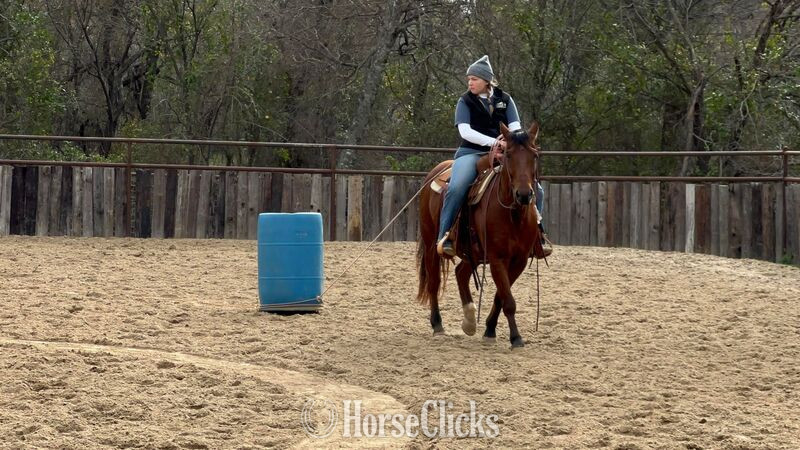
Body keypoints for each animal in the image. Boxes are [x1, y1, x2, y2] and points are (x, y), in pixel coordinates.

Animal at [416, 121, 542, 348]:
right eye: (508, 154)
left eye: (534, 155)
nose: (524, 195)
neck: (513, 215)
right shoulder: (497, 258)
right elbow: (508, 300)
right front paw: (516, 338)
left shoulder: (518, 260)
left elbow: (501, 296)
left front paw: (490, 329)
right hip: (431, 243)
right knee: (434, 282)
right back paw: (437, 325)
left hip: (471, 252)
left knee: (460, 273)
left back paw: (469, 321)